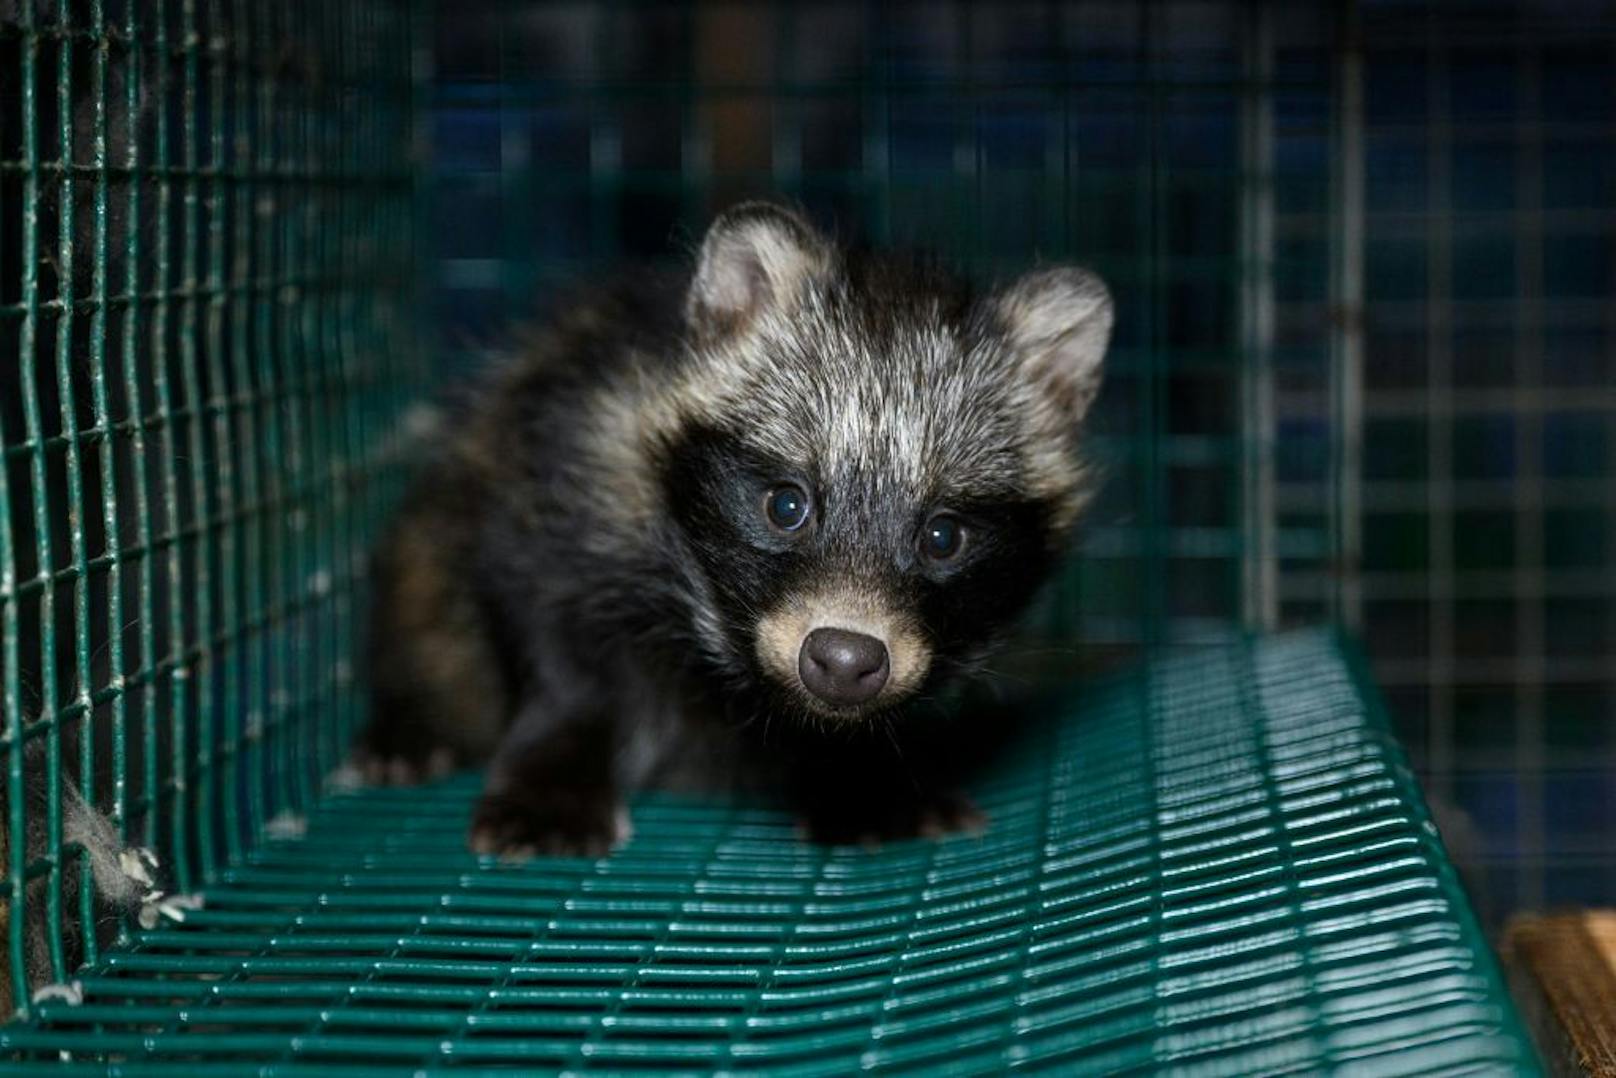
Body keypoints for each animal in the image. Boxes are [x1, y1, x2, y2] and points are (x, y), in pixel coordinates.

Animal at [357, 204, 1111, 859]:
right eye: (786, 505)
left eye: (943, 537)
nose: (844, 661)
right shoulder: (572, 455)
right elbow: (552, 626)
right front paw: (555, 769)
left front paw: (862, 776)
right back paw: (406, 723)